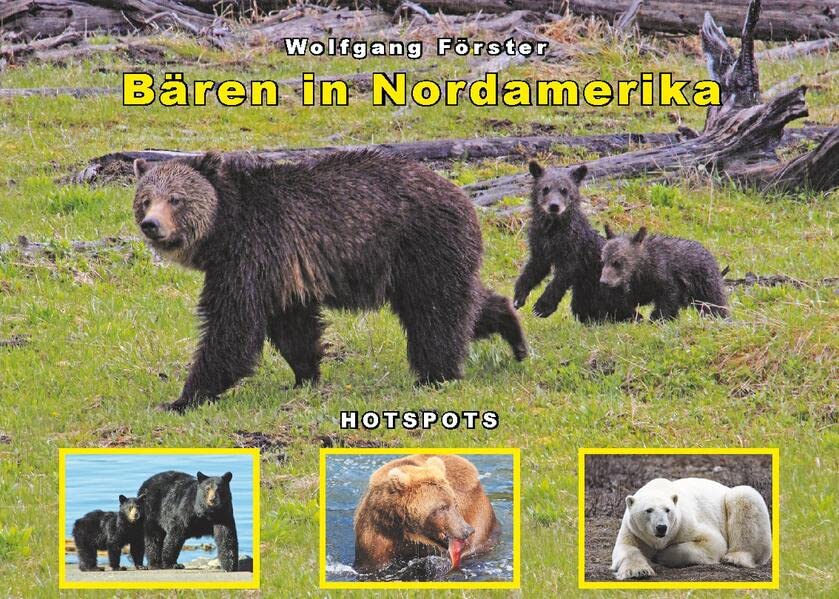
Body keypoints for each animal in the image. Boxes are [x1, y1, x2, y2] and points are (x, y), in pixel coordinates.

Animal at [133, 150, 526, 411]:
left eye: (176, 198)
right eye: (145, 199)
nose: (151, 225)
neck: (222, 228)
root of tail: (463, 196)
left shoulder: (251, 251)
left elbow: (233, 326)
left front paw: (183, 398)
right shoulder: (281, 271)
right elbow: (294, 326)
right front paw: (303, 376)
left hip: (420, 245)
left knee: (435, 313)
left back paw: (435, 375)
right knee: (464, 303)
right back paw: (513, 333)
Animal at [513, 161, 636, 322]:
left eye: (564, 190)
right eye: (545, 188)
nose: (554, 206)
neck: (553, 230)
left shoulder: (574, 248)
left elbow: (563, 276)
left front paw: (542, 307)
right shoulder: (540, 244)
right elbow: (534, 269)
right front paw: (518, 297)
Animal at [599, 225, 729, 320]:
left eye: (617, 262)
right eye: (603, 260)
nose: (604, 281)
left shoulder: (668, 280)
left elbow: (667, 302)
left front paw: (657, 318)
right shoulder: (639, 286)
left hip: (706, 284)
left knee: (715, 304)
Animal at [611, 477, 771, 580]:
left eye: (668, 510)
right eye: (648, 510)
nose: (661, 527)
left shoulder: (684, 524)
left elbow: (712, 542)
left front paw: (661, 556)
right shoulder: (633, 530)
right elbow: (627, 548)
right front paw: (639, 571)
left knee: (744, 497)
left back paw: (734, 558)